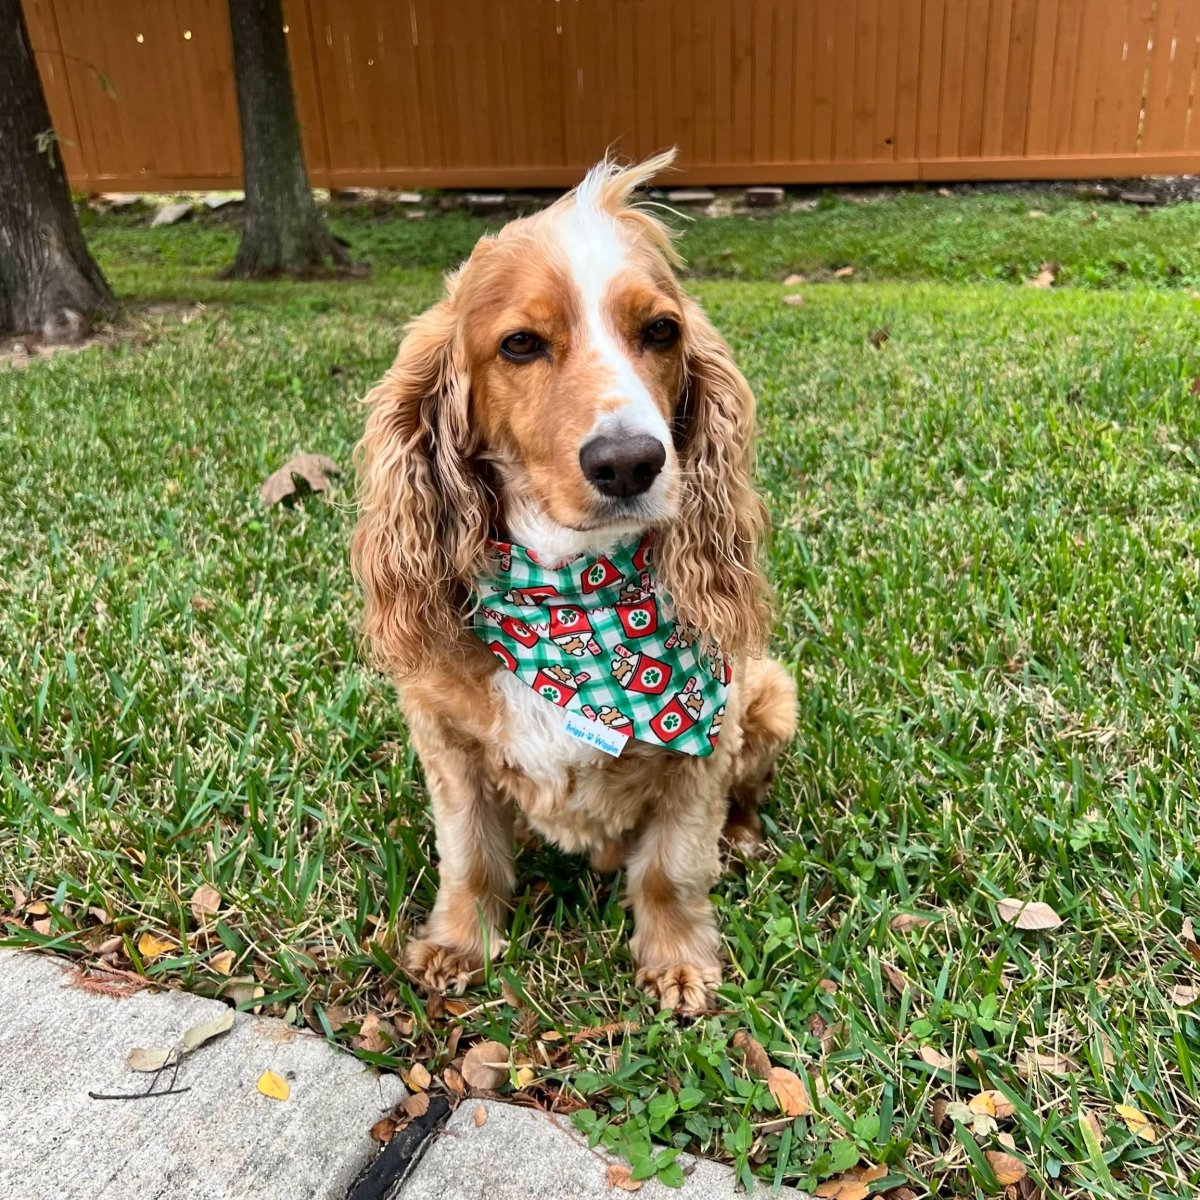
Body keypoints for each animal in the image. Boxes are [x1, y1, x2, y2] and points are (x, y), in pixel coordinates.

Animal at [350, 150, 796, 1012]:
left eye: (661, 331)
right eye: (521, 344)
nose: (630, 461)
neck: (572, 607)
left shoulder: (704, 751)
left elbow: (671, 868)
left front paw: (678, 962)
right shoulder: (445, 742)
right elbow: (470, 854)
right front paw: (459, 944)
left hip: (773, 696)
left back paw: (746, 838)